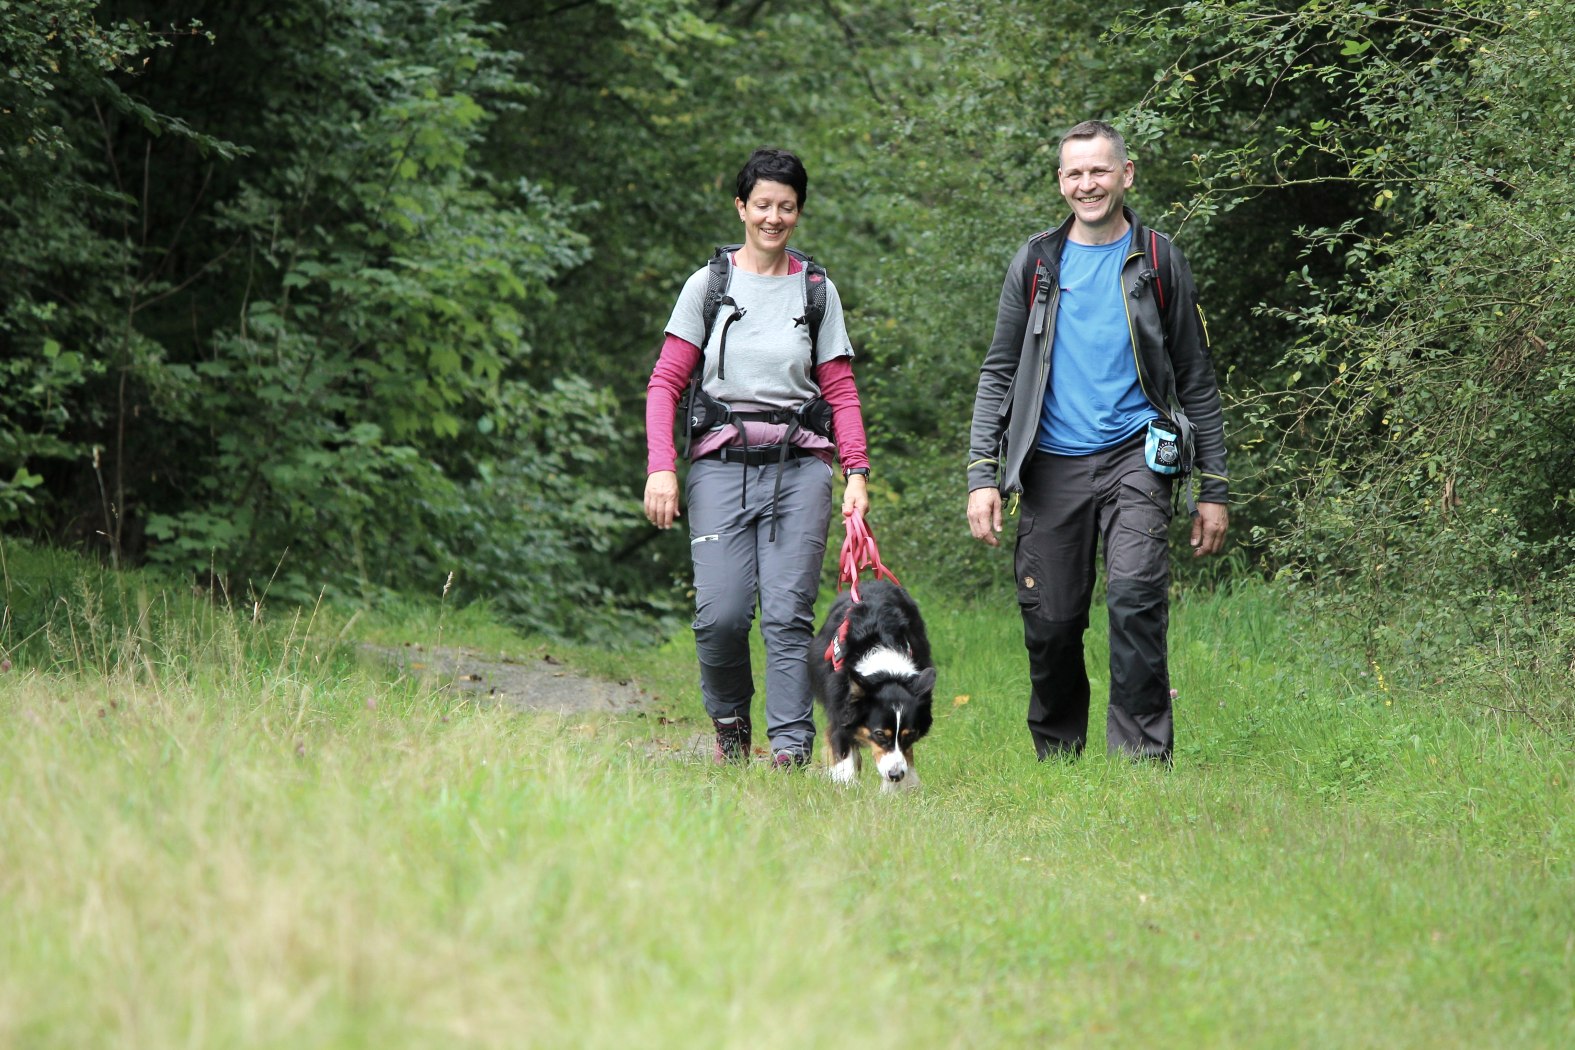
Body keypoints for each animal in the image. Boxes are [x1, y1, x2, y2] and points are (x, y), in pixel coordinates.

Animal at [812, 579, 932, 793]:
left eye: (910, 734)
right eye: (879, 734)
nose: (895, 776)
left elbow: (905, 755)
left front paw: (900, 787)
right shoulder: (841, 706)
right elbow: (842, 746)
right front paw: (847, 786)